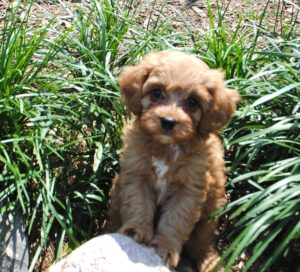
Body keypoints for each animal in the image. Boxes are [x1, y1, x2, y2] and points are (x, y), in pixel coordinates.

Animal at [106, 51, 240, 272]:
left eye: (193, 102)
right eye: (157, 92)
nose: (168, 121)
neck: (166, 148)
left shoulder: (189, 189)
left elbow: (177, 219)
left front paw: (165, 247)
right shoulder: (137, 174)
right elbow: (138, 204)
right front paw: (136, 231)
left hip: (213, 207)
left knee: (202, 242)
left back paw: (210, 262)